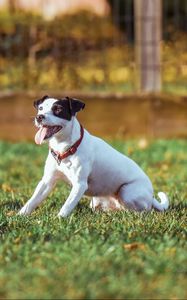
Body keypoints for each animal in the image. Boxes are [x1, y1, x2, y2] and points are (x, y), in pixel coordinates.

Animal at [18, 95, 169, 217]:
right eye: (40, 108)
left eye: (58, 109)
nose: (39, 117)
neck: (66, 149)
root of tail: (151, 196)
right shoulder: (47, 181)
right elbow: (32, 201)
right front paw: (20, 216)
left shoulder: (79, 185)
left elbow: (67, 206)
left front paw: (59, 219)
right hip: (97, 200)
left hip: (127, 192)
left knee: (143, 209)